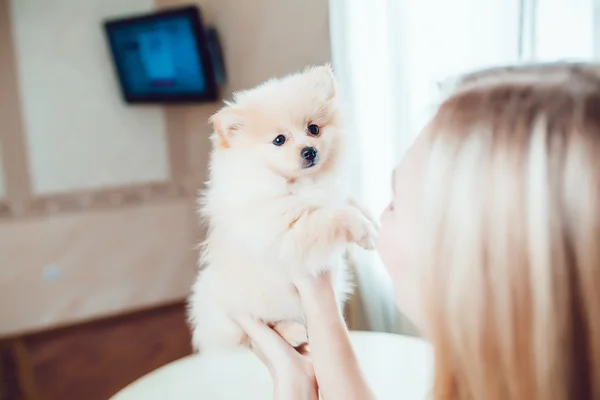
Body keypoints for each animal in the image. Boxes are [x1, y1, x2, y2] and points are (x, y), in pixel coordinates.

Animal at [188, 64, 378, 352]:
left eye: (314, 129)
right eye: (279, 140)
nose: (309, 151)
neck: (302, 183)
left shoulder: (333, 193)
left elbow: (350, 201)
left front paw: (373, 222)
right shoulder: (287, 232)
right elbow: (332, 216)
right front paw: (363, 230)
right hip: (249, 306)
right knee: (263, 327)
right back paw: (293, 332)